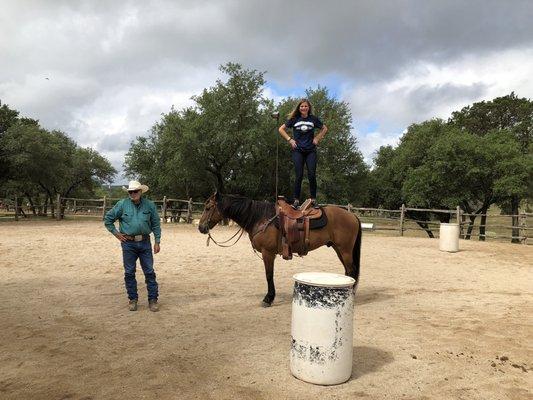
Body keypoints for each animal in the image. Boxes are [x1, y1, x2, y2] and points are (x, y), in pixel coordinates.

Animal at [197, 192, 364, 308]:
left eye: (208, 207)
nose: (201, 227)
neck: (260, 218)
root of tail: (352, 215)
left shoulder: (268, 253)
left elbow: (269, 275)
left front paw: (268, 298)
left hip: (345, 250)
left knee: (351, 270)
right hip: (339, 249)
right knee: (348, 271)